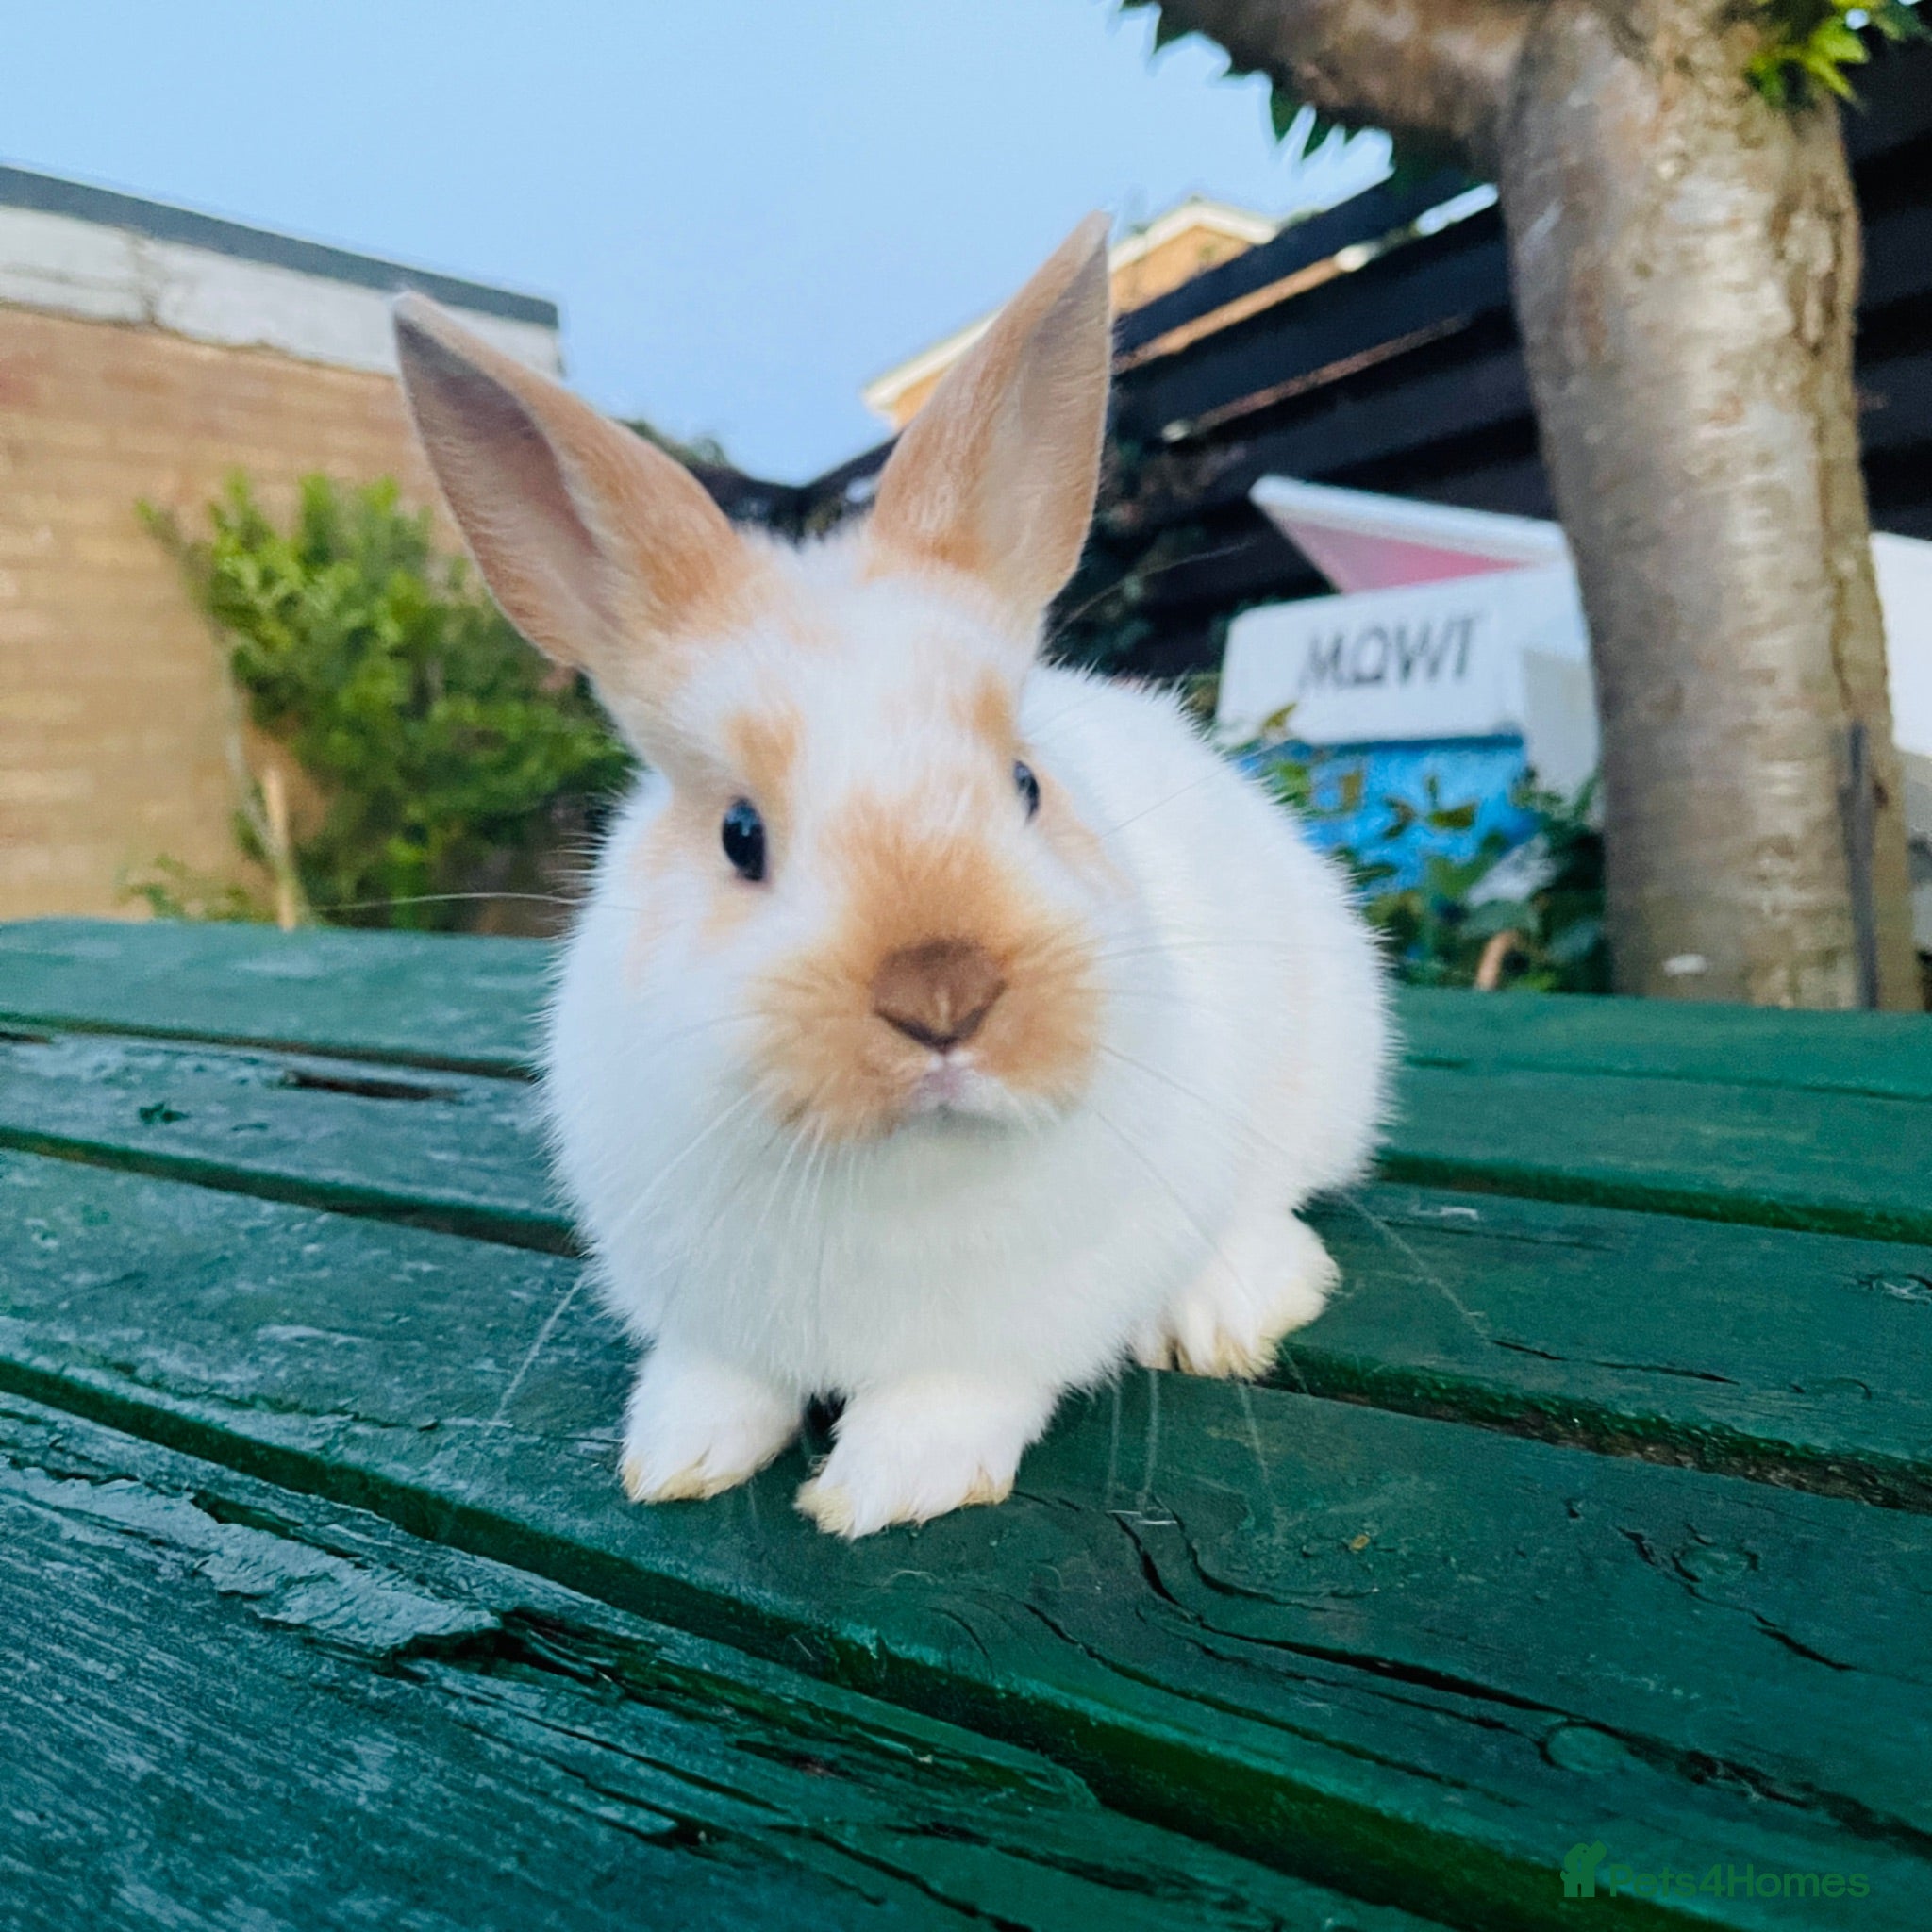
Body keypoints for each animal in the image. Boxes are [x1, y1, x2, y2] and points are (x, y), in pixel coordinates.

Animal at [391, 214, 1392, 1538]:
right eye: (739, 834)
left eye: (1024, 783)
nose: (942, 993)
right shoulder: (703, 1306)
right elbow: (716, 1379)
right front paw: (676, 1456)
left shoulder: (1008, 1329)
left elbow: (952, 1393)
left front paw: (880, 1488)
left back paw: (1228, 1309)